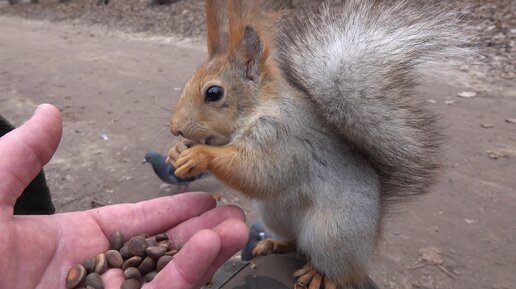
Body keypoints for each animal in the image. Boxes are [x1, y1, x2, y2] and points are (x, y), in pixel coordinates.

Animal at [166, 0, 472, 288]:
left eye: (213, 93)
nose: (175, 129)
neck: (259, 107)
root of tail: (371, 240)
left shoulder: (282, 139)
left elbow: (260, 173)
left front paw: (200, 155)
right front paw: (178, 151)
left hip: (331, 233)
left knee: (340, 270)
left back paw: (320, 275)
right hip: (275, 214)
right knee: (295, 242)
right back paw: (276, 243)